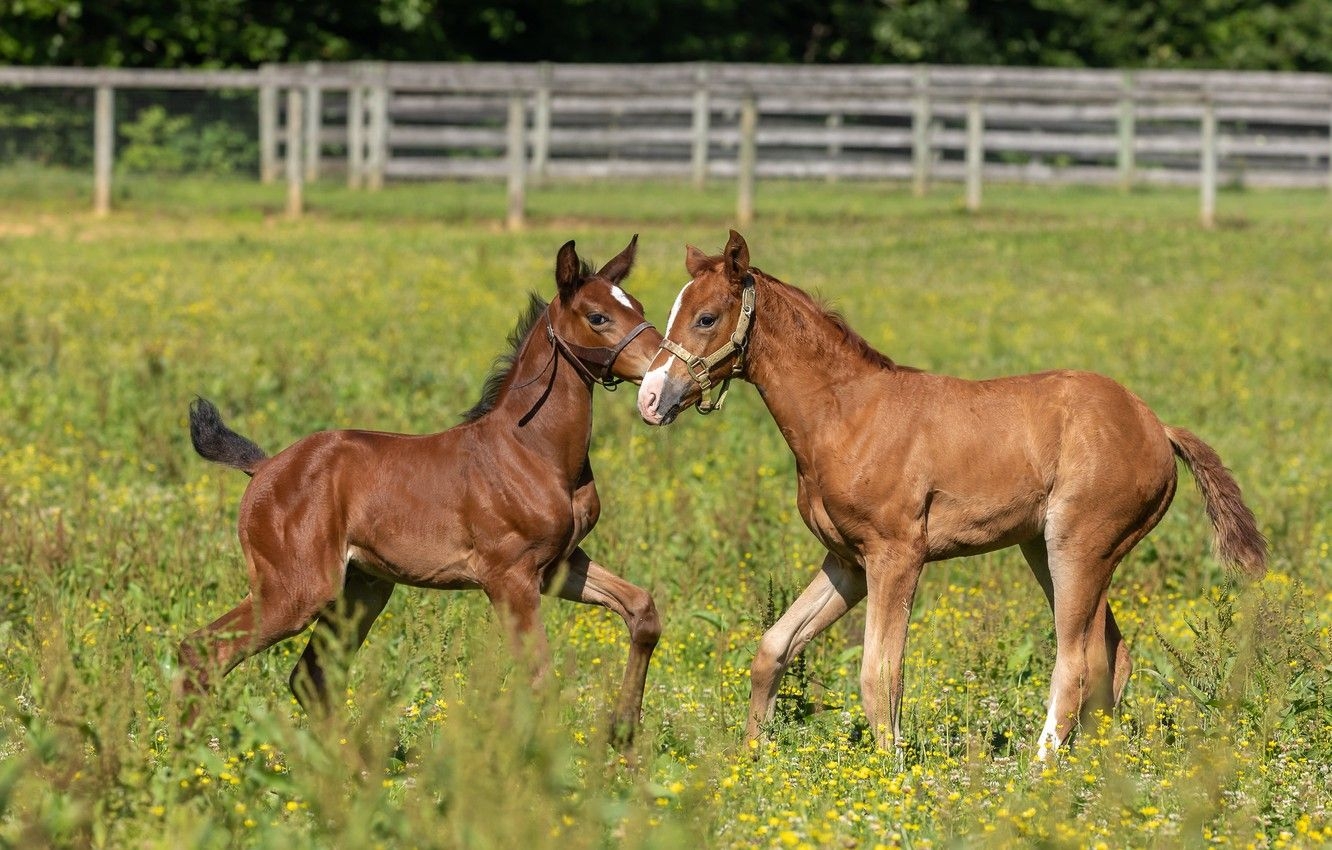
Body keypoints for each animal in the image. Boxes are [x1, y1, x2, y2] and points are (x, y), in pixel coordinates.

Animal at [179, 238, 666, 746]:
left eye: (638, 307)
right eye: (598, 317)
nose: (662, 369)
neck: (532, 449)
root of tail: (264, 467)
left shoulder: (557, 564)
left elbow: (642, 610)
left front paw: (624, 732)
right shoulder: (508, 576)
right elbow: (538, 677)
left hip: (362, 589)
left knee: (309, 677)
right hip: (296, 589)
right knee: (204, 649)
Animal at [639, 231, 1262, 756]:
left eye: (706, 317)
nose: (650, 397)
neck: (847, 414)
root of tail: (1156, 427)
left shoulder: (896, 556)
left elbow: (879, 673)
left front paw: (890, 776)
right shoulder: (847, 561)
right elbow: (773, 649)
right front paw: (751, 761)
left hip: (1080, 546)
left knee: (1077, 662)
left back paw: (1038, 775)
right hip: (1045, 549)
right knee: (1113, 656)